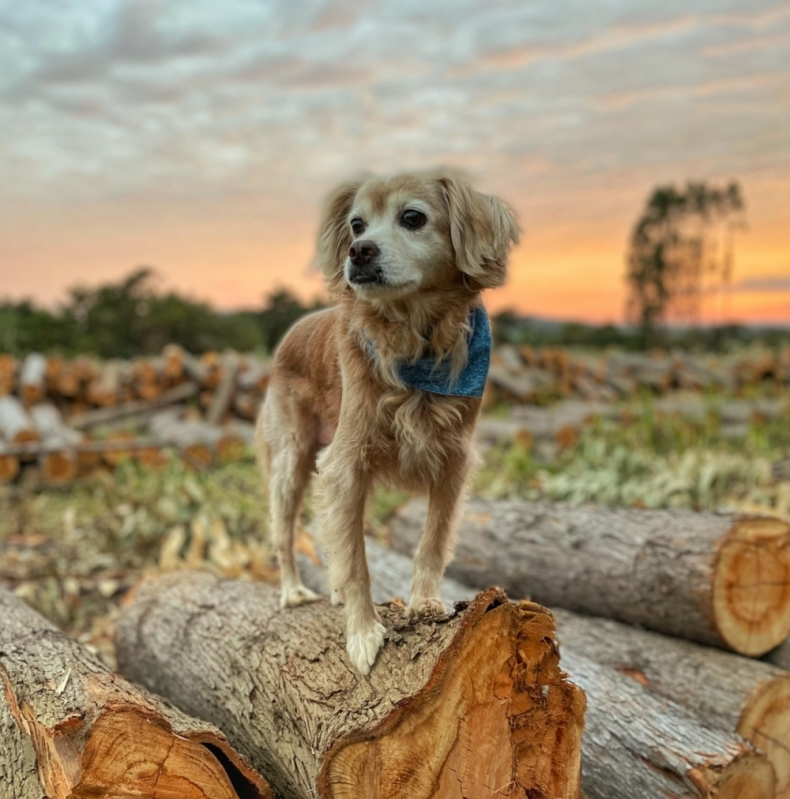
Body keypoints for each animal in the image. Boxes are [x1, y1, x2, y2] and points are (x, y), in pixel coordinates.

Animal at [256, 170, 524, 676]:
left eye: (413, 217)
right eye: (356, 225)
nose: (358, 251)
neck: (414, 342)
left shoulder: (453, 461)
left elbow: (432, 541)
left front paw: (425, 602)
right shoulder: (345, 465)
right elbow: (357, 559)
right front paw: (363, 633)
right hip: (291, 460)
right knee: (285, 533)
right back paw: (293, 591)